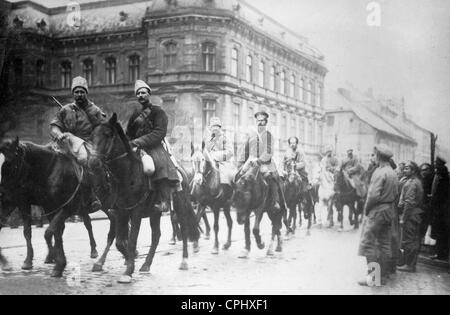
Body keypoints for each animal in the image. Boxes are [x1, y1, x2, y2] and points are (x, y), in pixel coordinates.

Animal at [0, 138, 114, 276]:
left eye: (13, 166)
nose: (2, 193)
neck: (48, 171)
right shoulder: (38, 205)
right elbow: (43, 231)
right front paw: (36, 260)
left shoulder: (64, 207)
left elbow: (51, 231)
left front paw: (56, 262)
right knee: (87, 222)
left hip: (104, 205)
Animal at [87, 114, 199, 284]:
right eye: (92, 136)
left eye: (107, 134)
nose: (93, 163)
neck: (127, 173)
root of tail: (182, 172)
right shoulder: (121, 212)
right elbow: (120, 242)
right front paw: (129, 261)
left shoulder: (136, 212)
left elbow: (132, 240)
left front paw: (128, 271)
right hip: (155, 213)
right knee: (156, 236)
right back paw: (146, 265)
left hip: (180, 206)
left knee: (184, 230)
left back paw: (184, 261)